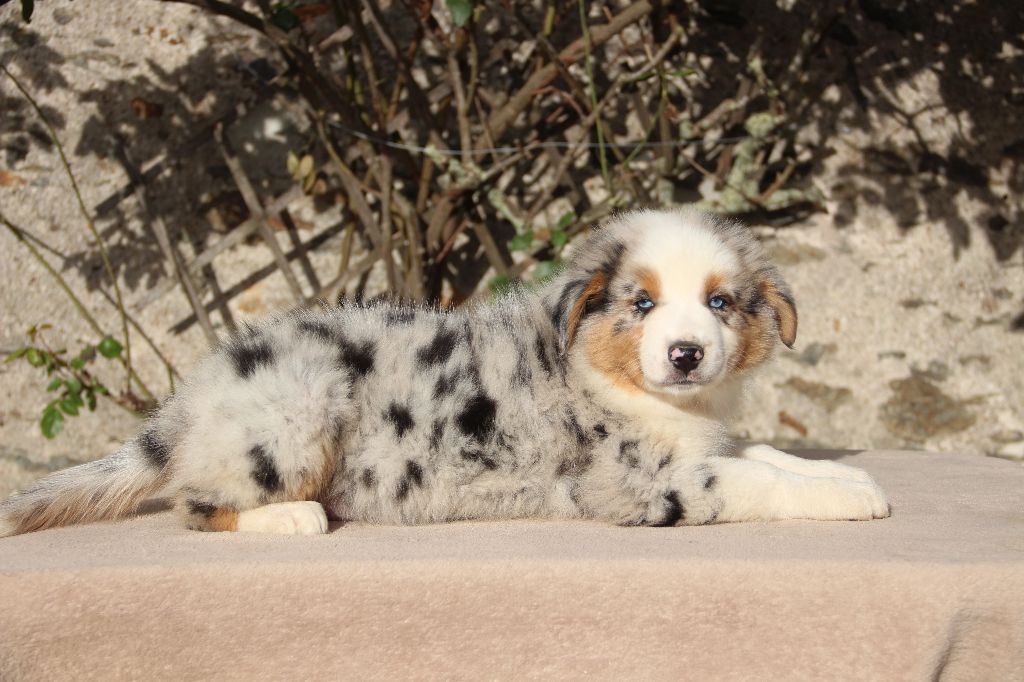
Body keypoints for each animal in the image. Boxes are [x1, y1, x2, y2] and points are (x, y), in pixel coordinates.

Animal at [0, 209, 888, 537]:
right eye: (640, 303)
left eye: (720, 304)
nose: (686, 354)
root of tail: (190, 400)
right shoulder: (630, 482)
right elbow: (750, 480)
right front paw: (847, 499)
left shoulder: (701, 440)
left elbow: (762, 452)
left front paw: (851, 479)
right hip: (295, 414)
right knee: (196, 505)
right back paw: (295, 518)